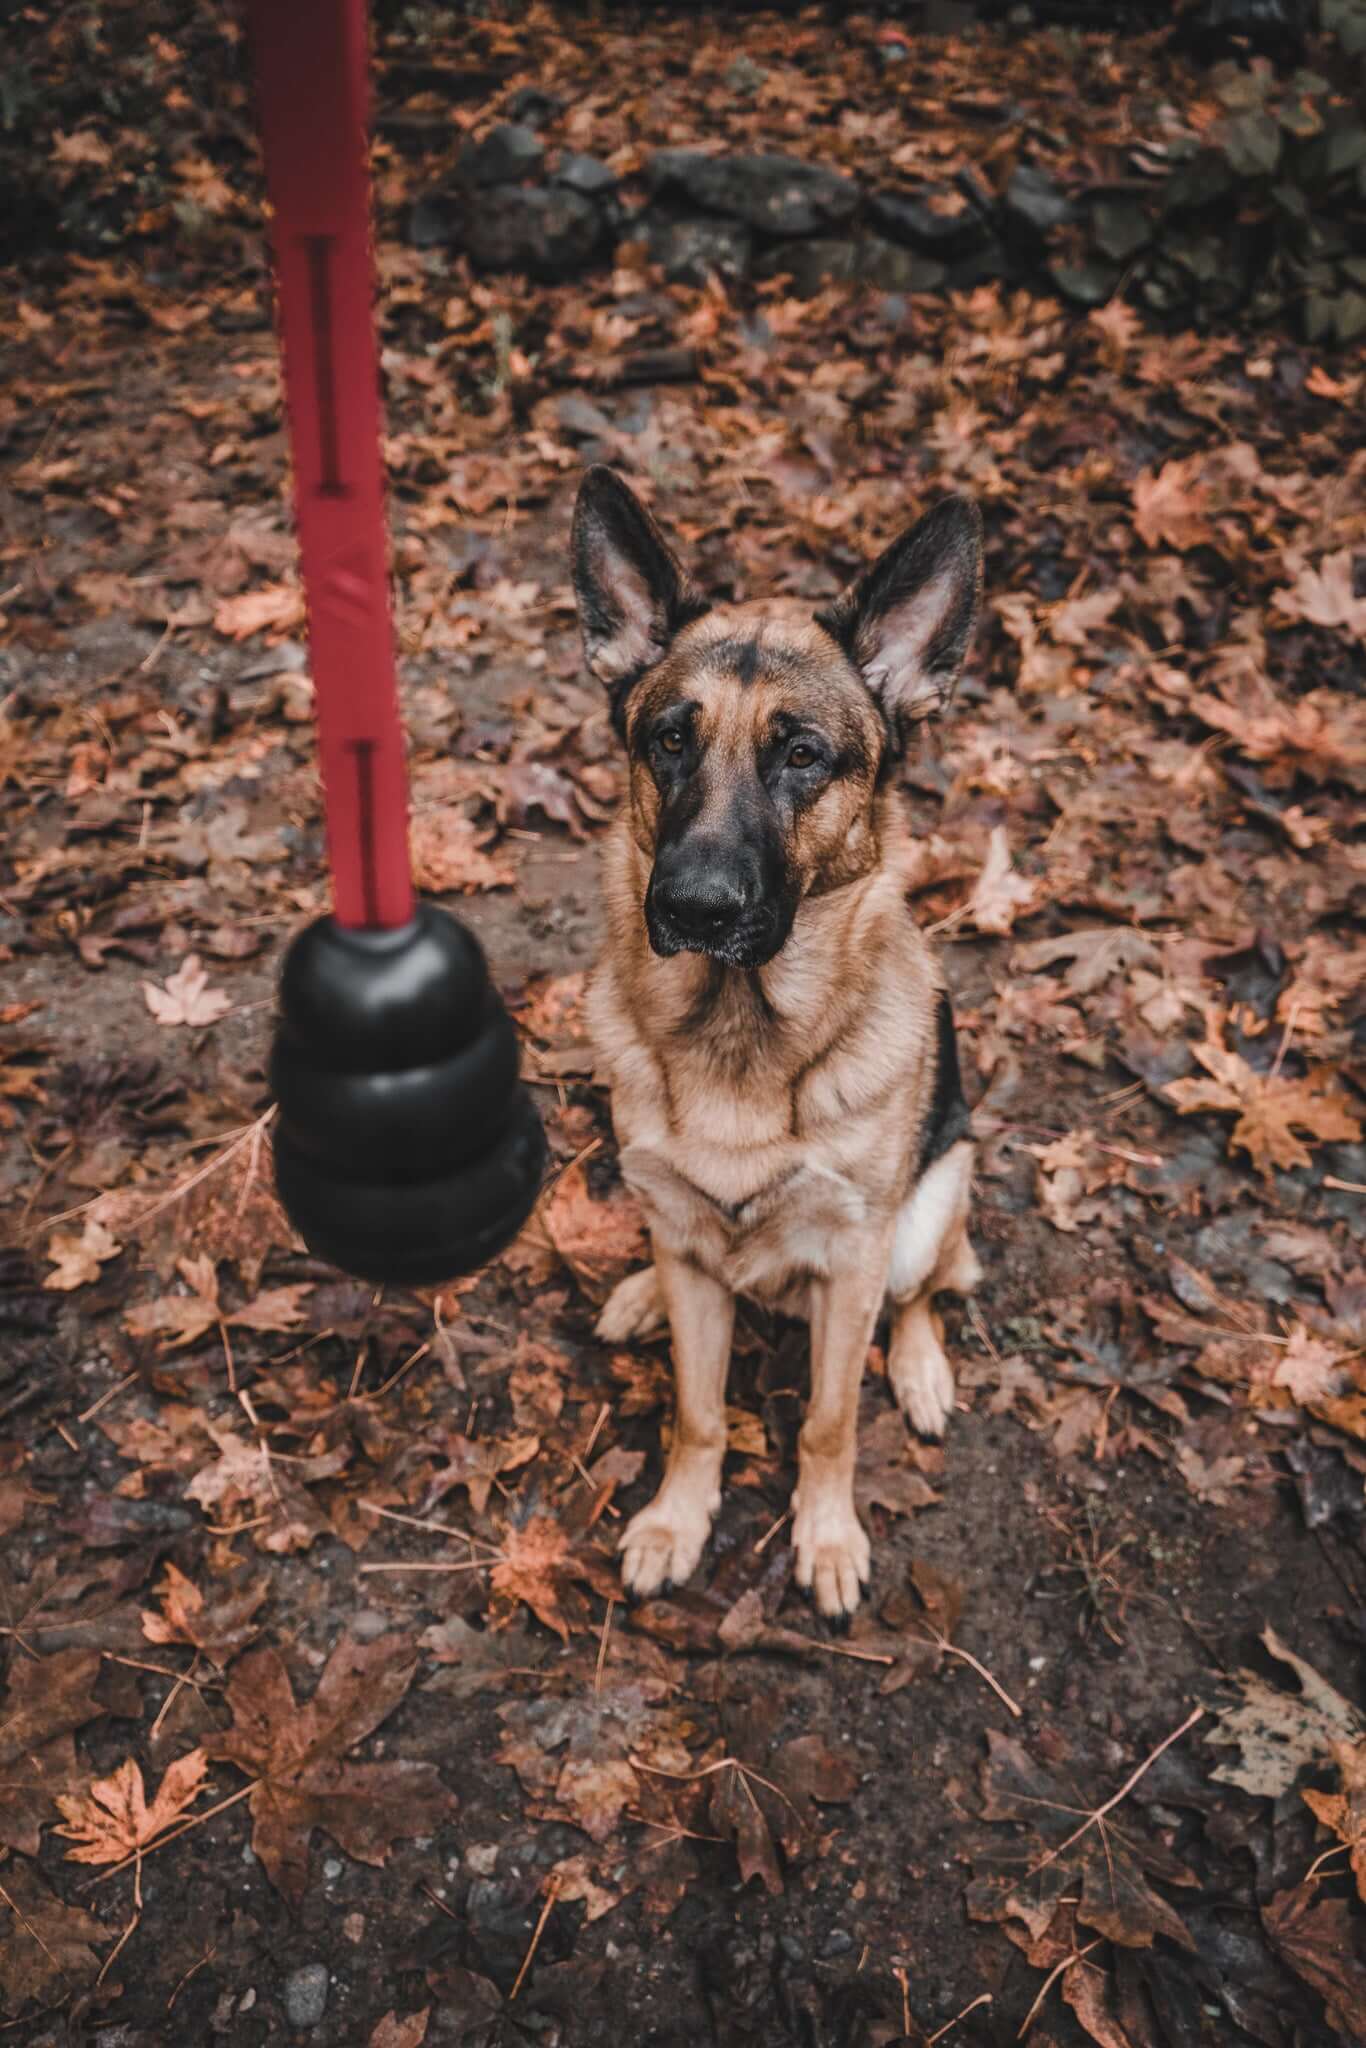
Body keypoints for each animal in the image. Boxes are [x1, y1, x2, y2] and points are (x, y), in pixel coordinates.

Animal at [573, 464, 983, 1613]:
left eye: (802, 755)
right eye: (668, 738)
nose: (695, 907)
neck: (741, 1031)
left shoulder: (850, 1263)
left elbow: (830, 1421)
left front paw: (829, 1537)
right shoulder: (690, 1249)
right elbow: (699, 1411)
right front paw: (677, 1519)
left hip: (930, 1203)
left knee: (929, 1288)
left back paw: (922, 1367)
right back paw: (639, 1292)